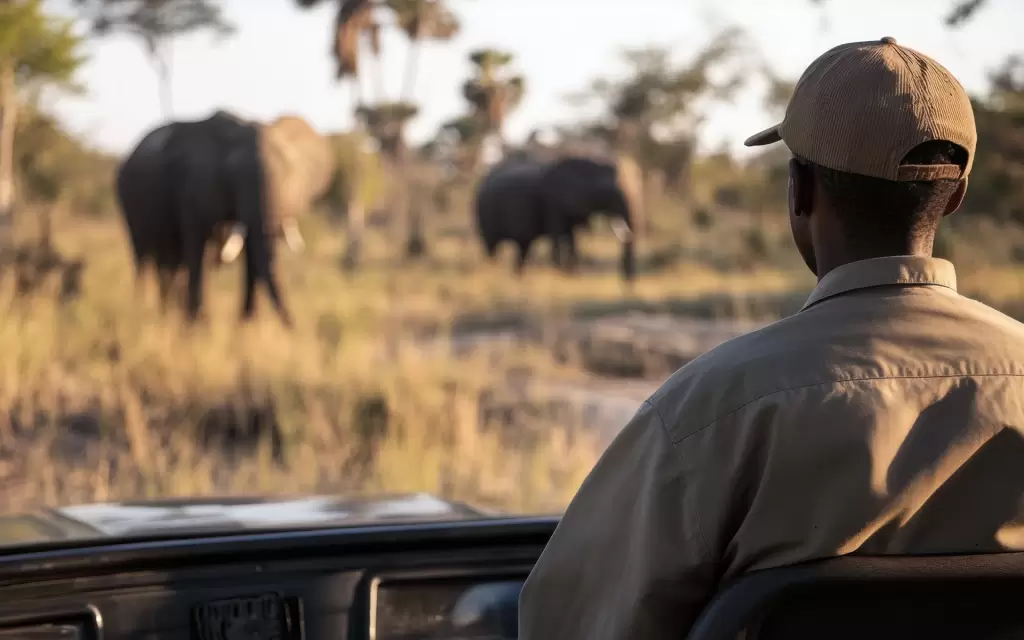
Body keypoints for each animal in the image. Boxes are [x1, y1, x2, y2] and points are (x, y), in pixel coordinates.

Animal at [117, 110, 335, 325]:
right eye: (233, 175)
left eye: (288, 176)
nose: (295, 327)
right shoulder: (193, 189)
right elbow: (197, 249)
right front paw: (200, 326)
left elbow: (250, 255)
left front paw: (246, 327)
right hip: (129, 200)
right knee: (144, 258)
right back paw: (142, 314)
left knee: (169, 263)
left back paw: (167, 316)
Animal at [474, 155, 636, 280]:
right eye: (607, 194)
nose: (627, 280)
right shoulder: (553, 204)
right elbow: (557, 235)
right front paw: (560, 271)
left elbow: (572, 237)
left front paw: (572, 273)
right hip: (484, 215)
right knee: (491, 245)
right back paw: (492, 270)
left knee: (523, 246)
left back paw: (517, 276)